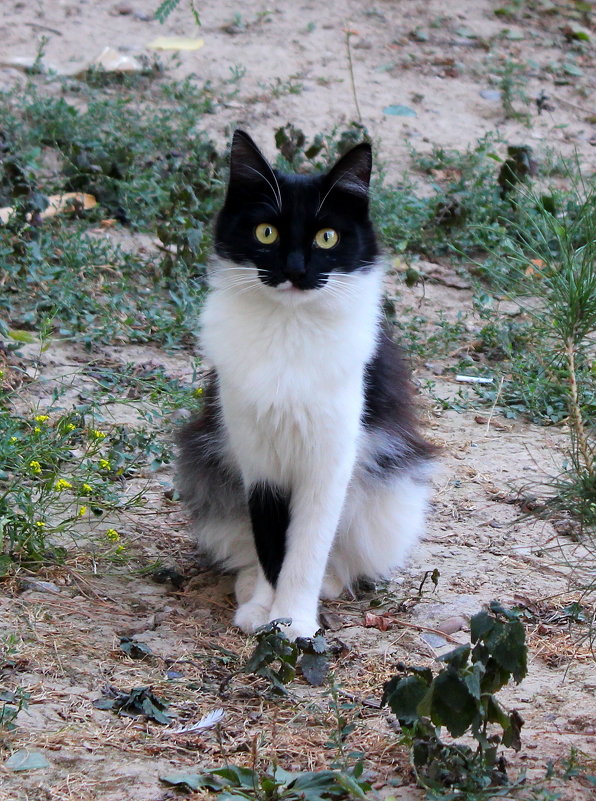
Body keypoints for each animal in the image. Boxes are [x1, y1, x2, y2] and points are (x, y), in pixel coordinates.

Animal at [175, 133, 436, 644]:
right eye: (266, 234)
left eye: (326, 237)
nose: (295, 270)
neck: (288, 329)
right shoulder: (257, 460)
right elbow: (269, 544)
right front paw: (265, 610)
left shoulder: (328, 463)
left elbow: (305, 551)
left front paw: (295, 621)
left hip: (387, 499)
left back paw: (328, 585)